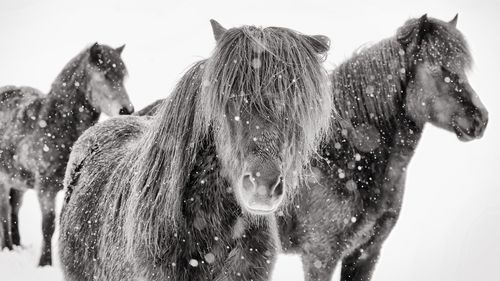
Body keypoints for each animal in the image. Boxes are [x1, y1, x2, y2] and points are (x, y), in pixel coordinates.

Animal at [0, 42, 133, 266]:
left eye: (123, 76)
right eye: (104, 75)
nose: (127, 109)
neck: (55, 125)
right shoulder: (45, 189)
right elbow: (48, 226)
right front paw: (44, 263)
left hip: (18, 182)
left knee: (14, 208)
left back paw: (17, 246)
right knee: (5, 213)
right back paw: (7, 248)